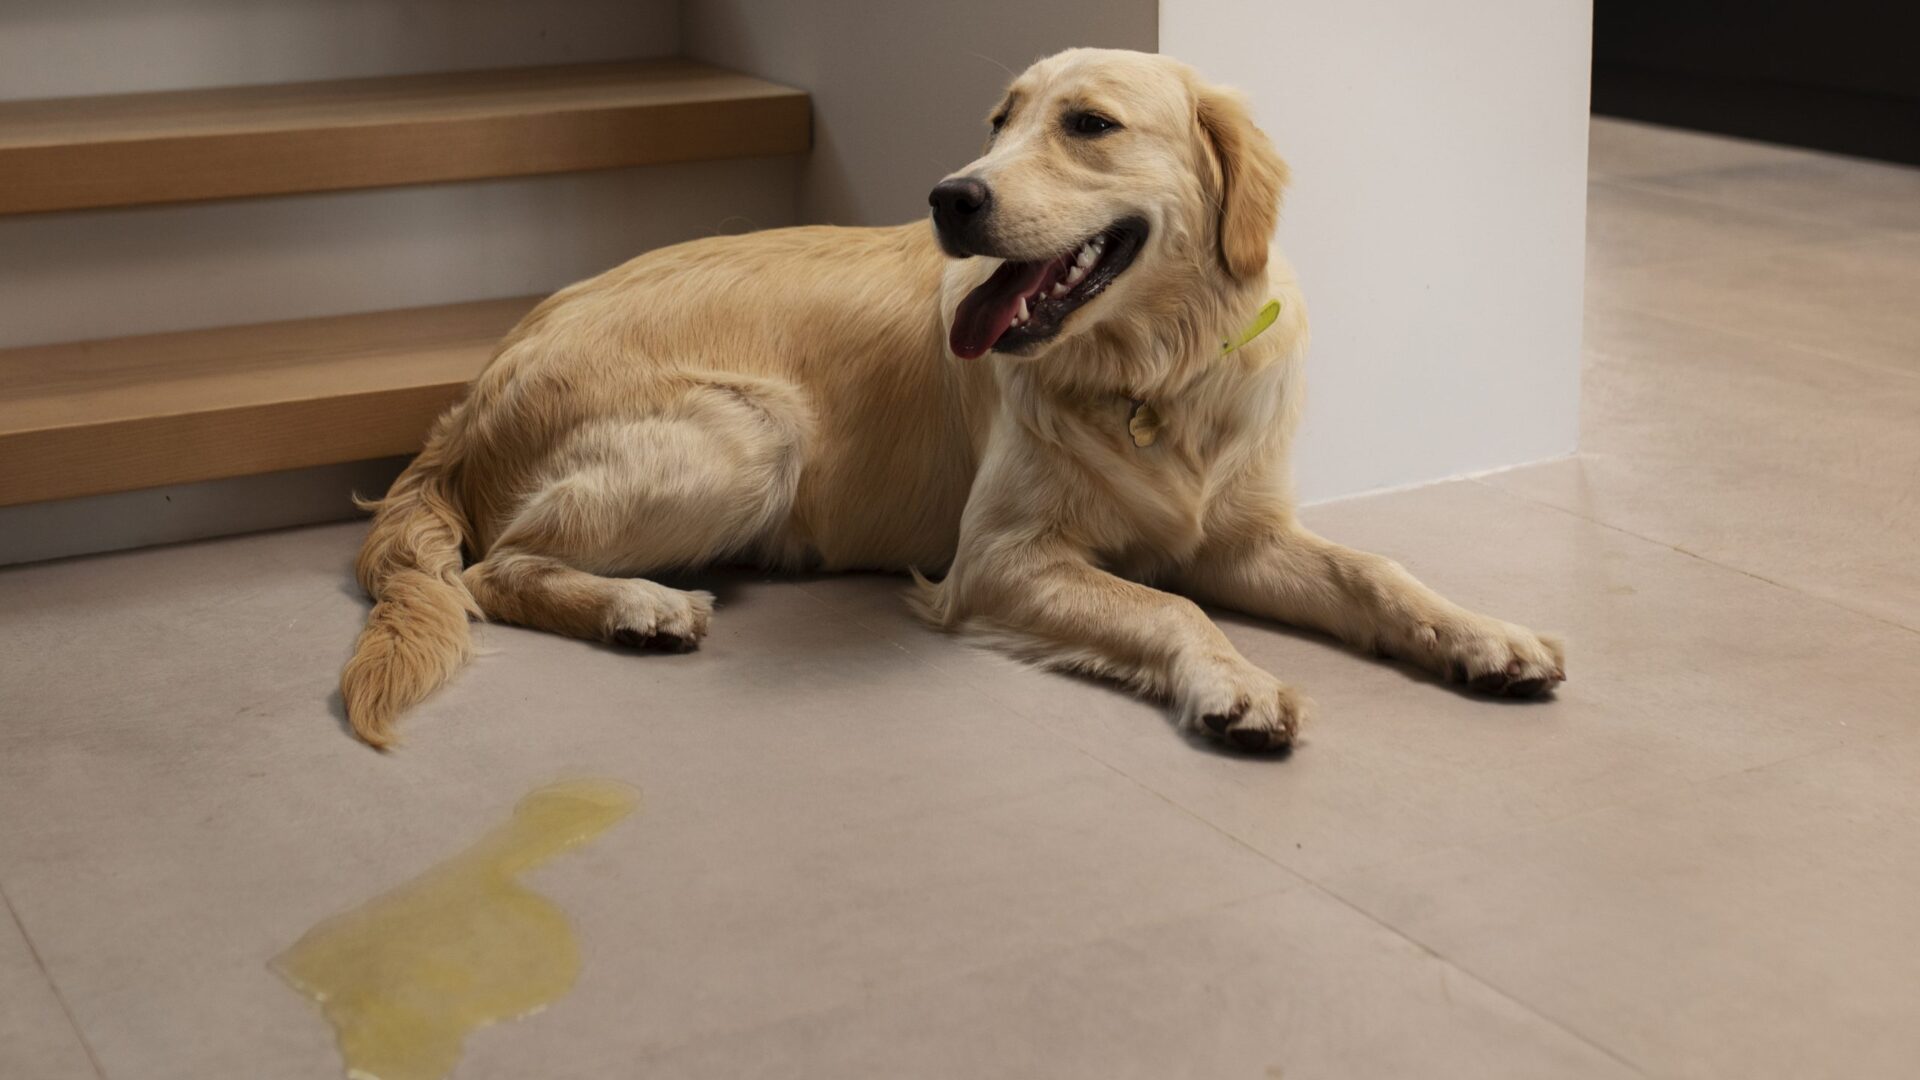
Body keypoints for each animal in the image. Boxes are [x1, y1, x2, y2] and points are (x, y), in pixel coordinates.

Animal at [341, 44, 1559, 749]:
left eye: (1088, 124)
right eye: (998, 121)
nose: (950, 198)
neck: (1153, 373)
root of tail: (473, 394)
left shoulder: (1237, 533)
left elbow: (1374, 571)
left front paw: (1485, 636)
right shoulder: (1001, 560)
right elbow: (1171, 607)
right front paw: (1235, 682)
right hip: (755, 430)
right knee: (494, 570)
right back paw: (642, 606)